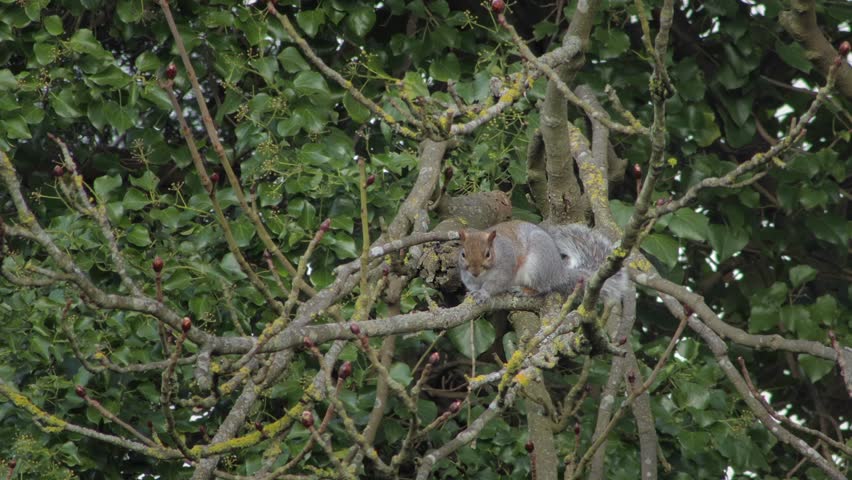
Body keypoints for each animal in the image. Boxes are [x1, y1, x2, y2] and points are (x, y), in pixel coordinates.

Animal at [458, 220, 627, 304]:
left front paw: (484, 293)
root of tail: (559, 273)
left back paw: (525, 290)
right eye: (463, 254)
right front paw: (472, 293)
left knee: (544, 288)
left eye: (487, 254)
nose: (475, 272)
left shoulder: (505, 268)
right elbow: (471, 285)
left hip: (537, 267)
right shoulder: (467, 277)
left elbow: (496, 284)